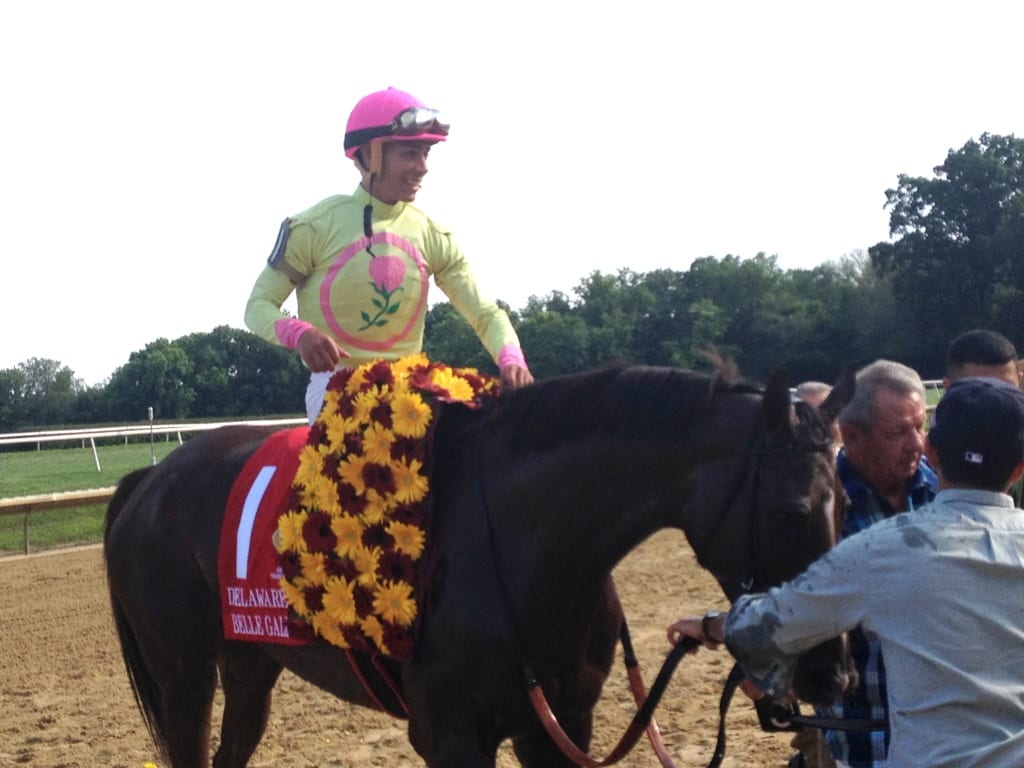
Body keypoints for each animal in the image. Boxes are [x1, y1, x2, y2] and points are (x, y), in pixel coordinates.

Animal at [105, 364, 847, 768]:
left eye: (843, 500)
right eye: (790, 511)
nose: (832, 673)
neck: (524, 548)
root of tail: (151, 478)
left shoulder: (561, 726)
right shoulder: (451, 735)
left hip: (250, 665)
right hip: (184, 675)